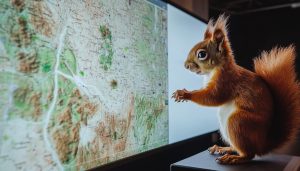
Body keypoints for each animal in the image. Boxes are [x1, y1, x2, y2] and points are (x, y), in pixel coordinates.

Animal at [172, 15, 300, 164]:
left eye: (202, 54)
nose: (186, 65)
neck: (215, 69)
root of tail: (262, 145)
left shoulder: (226, 81)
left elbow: (212, 97)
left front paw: (185, 94)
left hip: (238, 123)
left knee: (249, 154)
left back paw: (233, 158)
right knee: (238, 148)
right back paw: (223, 148)